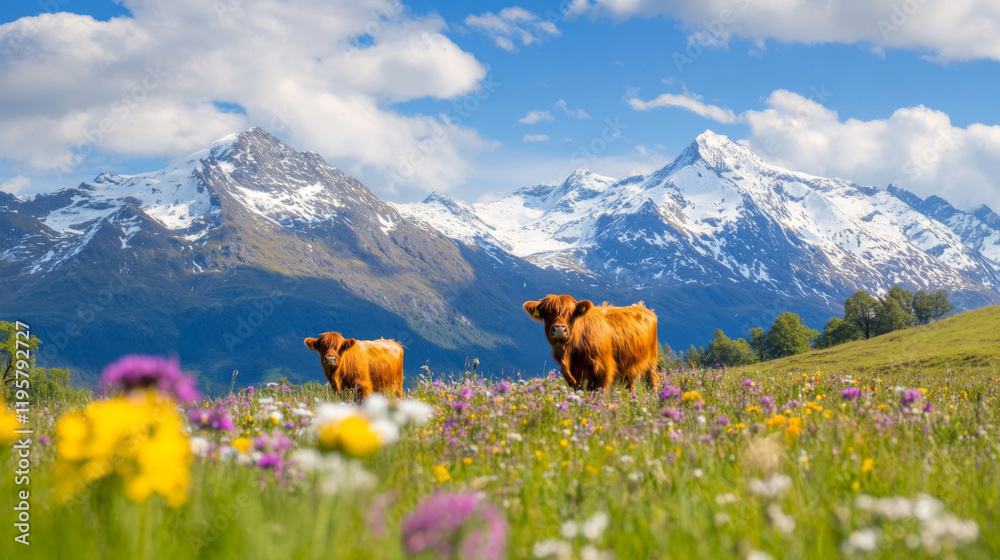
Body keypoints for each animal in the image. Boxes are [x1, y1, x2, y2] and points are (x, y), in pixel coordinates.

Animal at [523, 294, 659, 392]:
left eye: (571, 313)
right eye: (546, 313)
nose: (559, 330)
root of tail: (642, 307)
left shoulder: (604, 369)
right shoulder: (572, 375)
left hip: (651, 361)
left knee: (652, 381)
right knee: (631, 387)